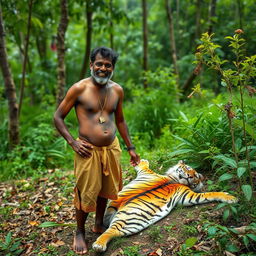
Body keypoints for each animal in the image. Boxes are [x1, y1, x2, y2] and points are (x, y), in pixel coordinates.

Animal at [92, 158, 238, 252]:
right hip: (127, 220)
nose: (190, 176)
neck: (174, 179)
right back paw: (99, 245)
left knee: (112, 230)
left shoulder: (187, 194)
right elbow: (144, 166)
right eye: (188, 169)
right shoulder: (186, 194)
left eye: (195, 176)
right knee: (110, 231)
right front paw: (232, 197)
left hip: (127, 222)